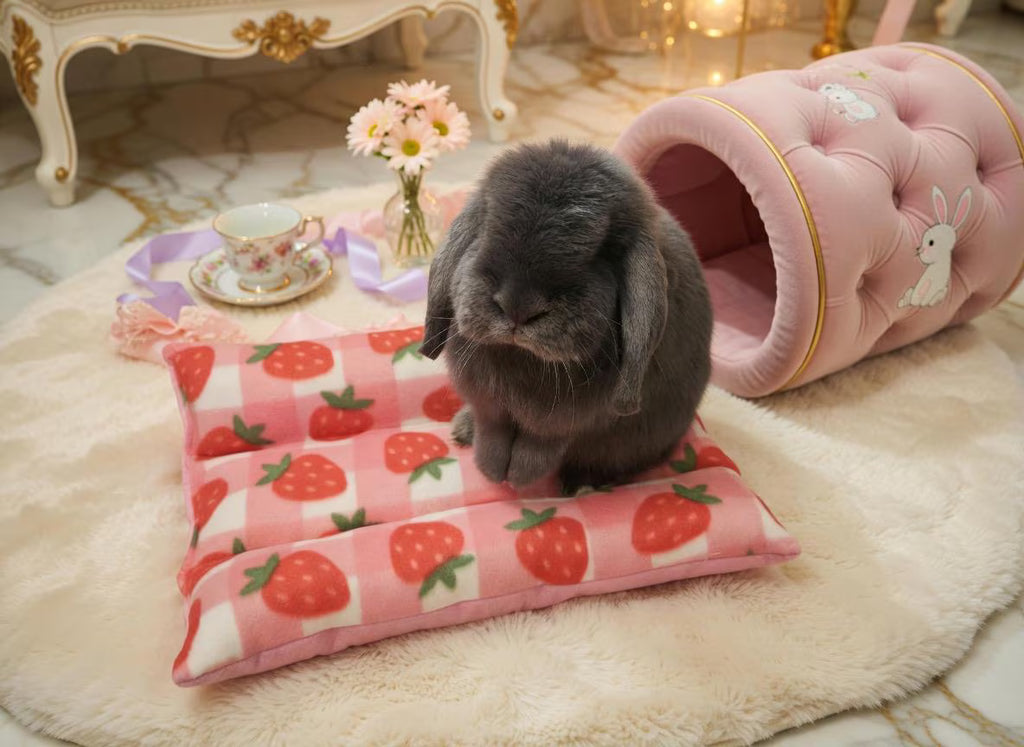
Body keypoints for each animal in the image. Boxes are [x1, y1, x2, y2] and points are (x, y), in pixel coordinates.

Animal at [420, 139, 713, 494]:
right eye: (488, 225)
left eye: (604, 250)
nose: (518, 306)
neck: (523, 357)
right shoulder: (490, 409)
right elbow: (493, 435)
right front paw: (492, 469)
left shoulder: (562, 425)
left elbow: (540, 447)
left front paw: (516, 476)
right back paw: (463, 430)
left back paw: (582, 484)